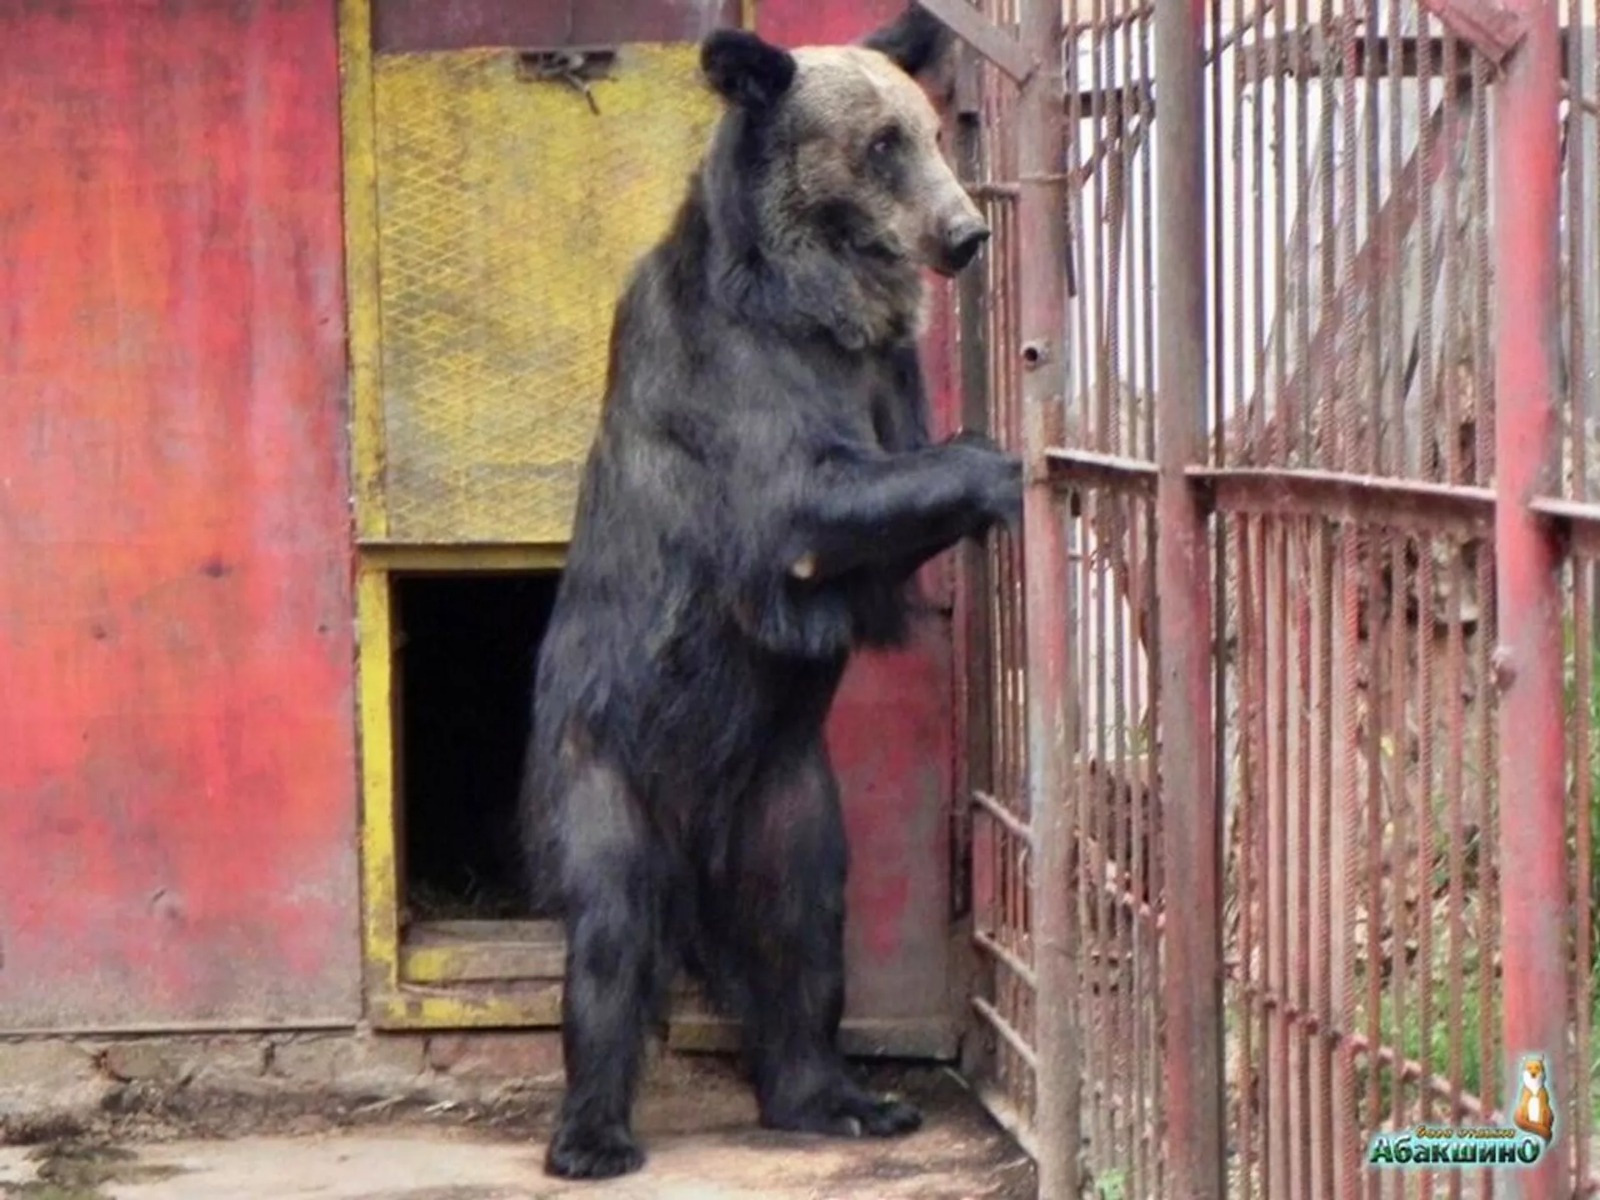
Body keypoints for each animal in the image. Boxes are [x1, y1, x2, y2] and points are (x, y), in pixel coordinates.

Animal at [524, 2, 1024, 1184]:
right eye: (883, 143)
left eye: (928, 127)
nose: (964, 233)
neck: (817, 307)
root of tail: (701, 838)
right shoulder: (732, 382)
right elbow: (802, 507)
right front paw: (999, 465)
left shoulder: (882, 377)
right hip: (607, 767)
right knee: (610, 933)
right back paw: (593, 1135)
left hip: (789, 796)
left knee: (801, 934)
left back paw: (841, 1097)